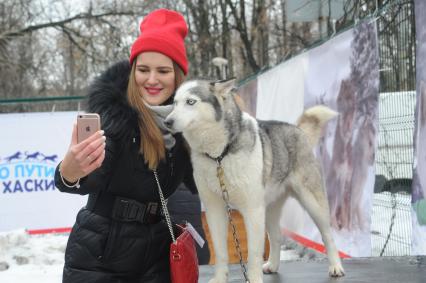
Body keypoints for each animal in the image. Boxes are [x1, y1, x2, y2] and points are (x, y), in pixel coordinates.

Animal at [164, 79, 346, 282]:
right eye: (175, 103)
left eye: (191, 102)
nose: (167, 122)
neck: (220, 155)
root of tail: (297, 129)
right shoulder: (215, 210)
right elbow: (220, 252)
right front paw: (219, 278)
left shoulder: (252, 210)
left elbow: (253, 253)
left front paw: (253, 278)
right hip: (269, 209)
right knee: (276, 236)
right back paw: (273, 265)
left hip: (312, 204)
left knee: (327, 236)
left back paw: (336, 267)